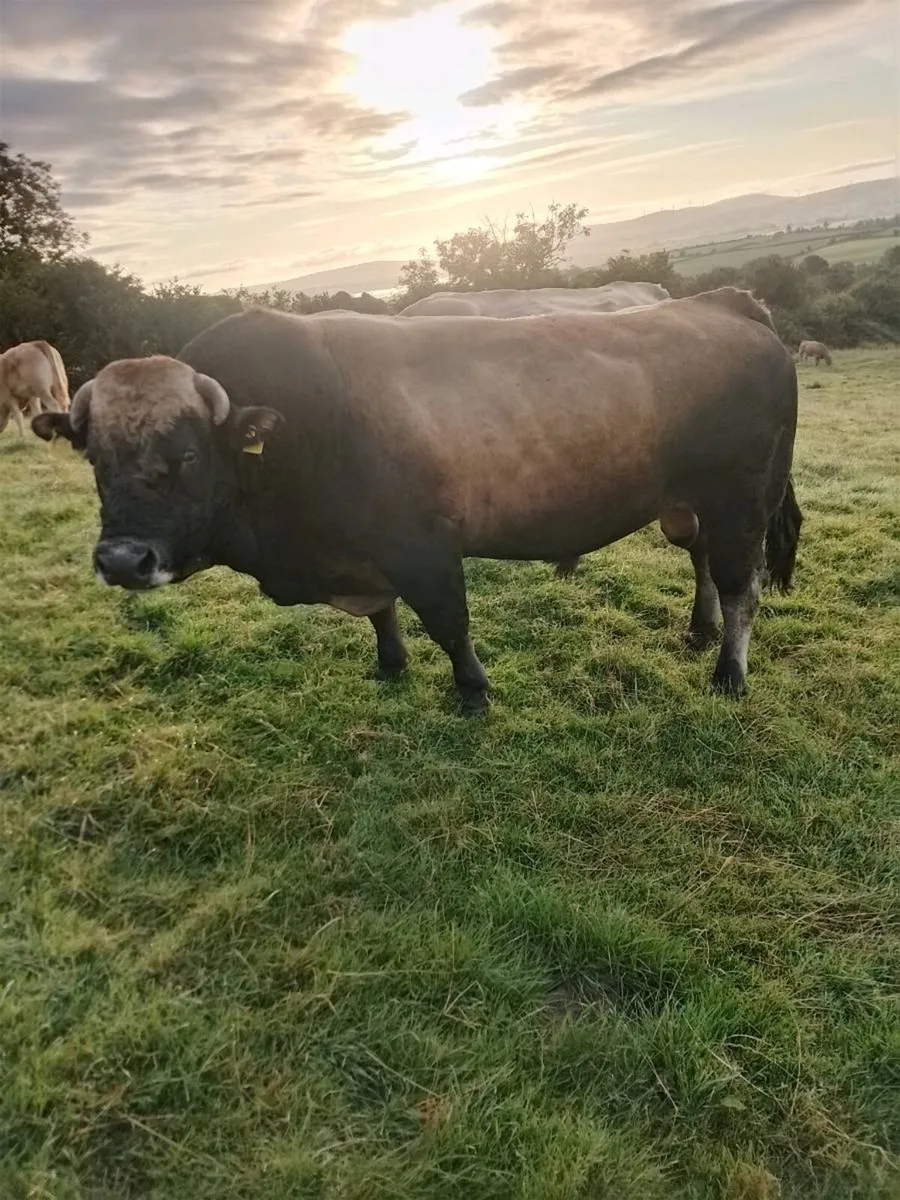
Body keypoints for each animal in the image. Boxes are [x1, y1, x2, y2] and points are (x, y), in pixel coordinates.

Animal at [33, 287, 802, 715]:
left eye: (188, 456)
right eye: (94, 458)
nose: (122, 560)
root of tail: (722, 303)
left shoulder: (422, 545)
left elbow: (449, 624)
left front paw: (472, 690)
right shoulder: (366, 552)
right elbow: (384, 616)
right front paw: (390, 664)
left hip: (741, 501)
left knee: (743, 587)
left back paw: (728, 671)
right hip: (692, 505)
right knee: (703, 565)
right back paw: (698, 629)